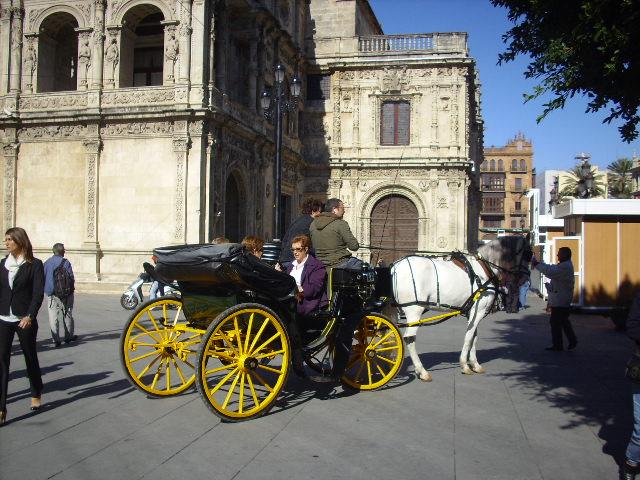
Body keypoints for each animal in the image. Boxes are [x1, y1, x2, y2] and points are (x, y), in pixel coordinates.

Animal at [388, 236, 532, 382]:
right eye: (528, 254)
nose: (526, 279)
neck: (484, 268)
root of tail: (394, 268)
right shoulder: (479, 310)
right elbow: (468, 337)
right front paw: (465, 365)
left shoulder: (472, 312)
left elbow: (474, 337)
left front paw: (475, 364)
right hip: (414, 311)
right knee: (409, 339)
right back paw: (421, 371)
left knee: (391, 335)